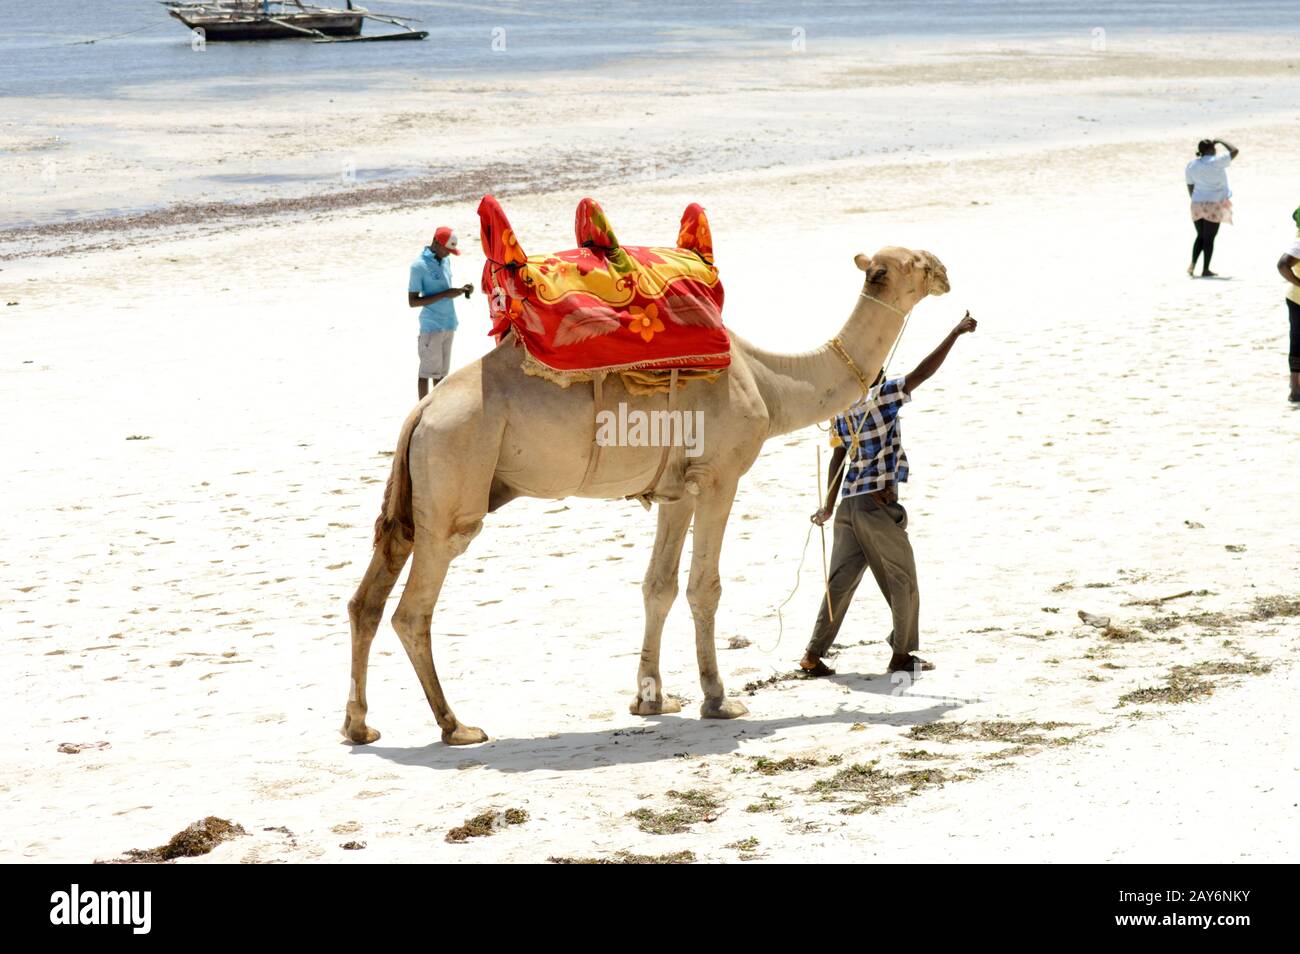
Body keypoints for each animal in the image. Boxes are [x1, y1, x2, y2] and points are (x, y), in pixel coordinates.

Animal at [343, 244, 956, 748]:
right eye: (915, 263)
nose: (945, 270)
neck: (772, 382)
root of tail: (422, 411)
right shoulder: (719, 476)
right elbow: (704, 587)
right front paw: (718, 699)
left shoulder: (674, 492)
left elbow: (657, 587)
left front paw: (651, 698)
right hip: (455, 476)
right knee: (413, 609)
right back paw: (456, 726)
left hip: (418, 492)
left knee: (367, 597)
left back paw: (360, 725)